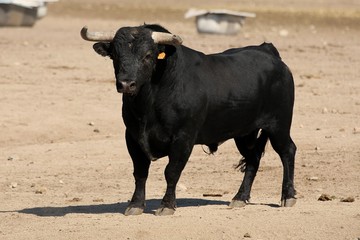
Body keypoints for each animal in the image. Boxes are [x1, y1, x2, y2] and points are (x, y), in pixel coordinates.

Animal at [81, 23, 298, 216]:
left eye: (148, 55)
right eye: (115, 55)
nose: (126, 84)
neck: (150, 102)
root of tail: (268, 51)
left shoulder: (183, 138)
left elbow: (171, 171)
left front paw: (166, 206)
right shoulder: (133, 137)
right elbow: (140, 171)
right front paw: (135, 205)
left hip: (278, 125)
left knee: (287, 151)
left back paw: (287, 196)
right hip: (244, 133)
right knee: (253, 158)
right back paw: (239, 198)